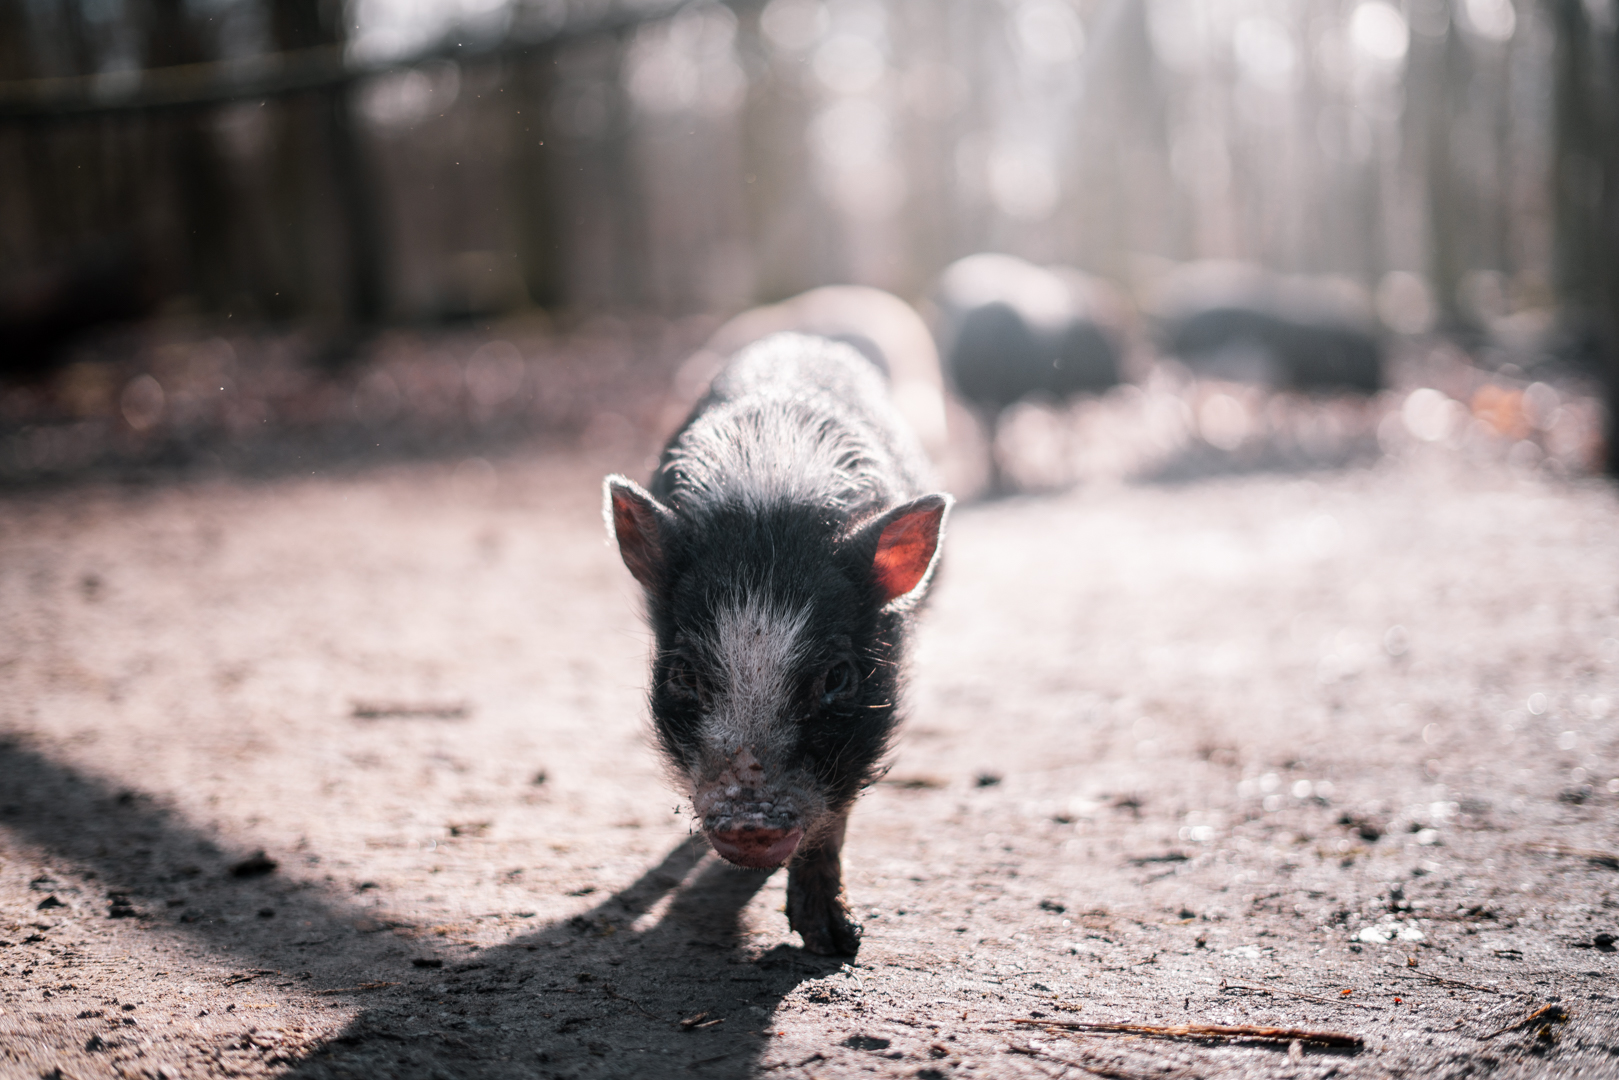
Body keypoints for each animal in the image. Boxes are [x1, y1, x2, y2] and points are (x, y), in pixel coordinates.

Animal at [604, 331, 952, 956]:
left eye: (837, 676)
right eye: (684, 674)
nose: (751, 821)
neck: (771, 508)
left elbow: (834, 817)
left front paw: (838, 946)